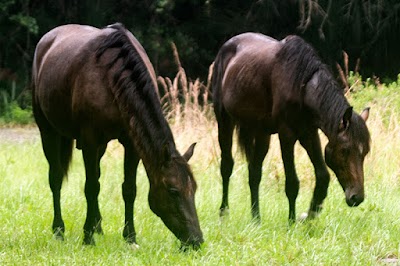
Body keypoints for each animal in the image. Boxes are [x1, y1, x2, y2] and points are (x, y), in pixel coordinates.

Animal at [32, 23, 203, 249]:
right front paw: (88, 237)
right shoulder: (89, 140)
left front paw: (130, 236)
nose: (196, 240)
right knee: (56, 178)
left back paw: (98, 225)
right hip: (48, 131)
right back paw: (59, 230)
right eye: (173, 191)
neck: (112, 76)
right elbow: (91, 187)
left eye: (194, 188)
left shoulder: (131, 144)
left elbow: (129, 189)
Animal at [212, 31, 372, 222]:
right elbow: (292, 183)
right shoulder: (286, 135)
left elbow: (323, 176)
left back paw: (256, 218)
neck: (301, 86)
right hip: (224, 121)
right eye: (345, 150)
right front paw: (292, 221)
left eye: (365, 152)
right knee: (226, 166)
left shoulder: (309, 133)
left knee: (254, 172)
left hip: (261, 132)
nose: (357, 197)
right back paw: (224, 213)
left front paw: (309, 215)